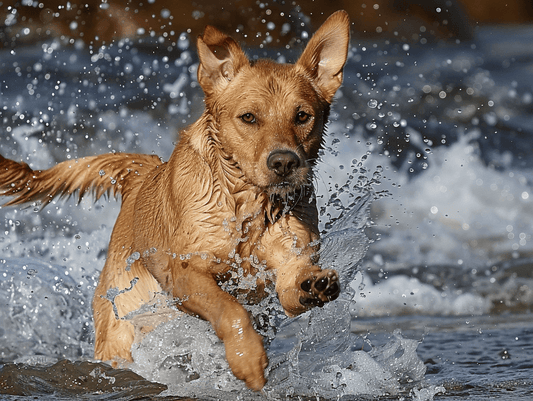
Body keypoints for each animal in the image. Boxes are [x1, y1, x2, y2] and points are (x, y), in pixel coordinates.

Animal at [0, 10, 350, 390]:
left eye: (302, 116)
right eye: (249, 117)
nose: (284, 162)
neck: (246, 207)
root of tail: (142, 174)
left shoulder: (287, 260)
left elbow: (291, 284)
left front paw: (314, 284)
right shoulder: (183, 271)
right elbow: (229, 308)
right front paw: (247, 358)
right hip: (122, 328)